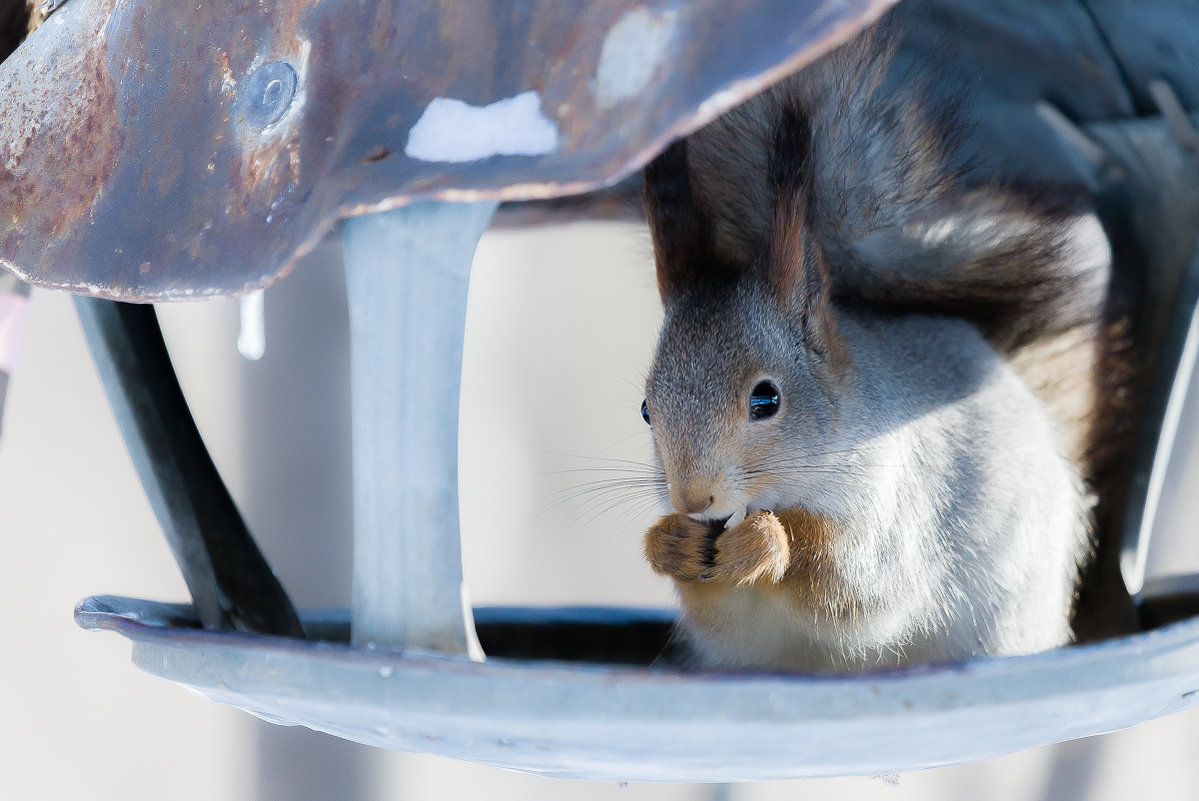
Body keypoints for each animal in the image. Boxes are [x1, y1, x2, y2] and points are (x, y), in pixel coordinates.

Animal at [642, 15, 1117, 671]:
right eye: (645, 409)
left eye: (766, 399)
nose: (693, 498)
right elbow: (718, 610)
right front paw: (670, 542)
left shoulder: (897, 508)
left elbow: (852, 584)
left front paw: (767, 542)